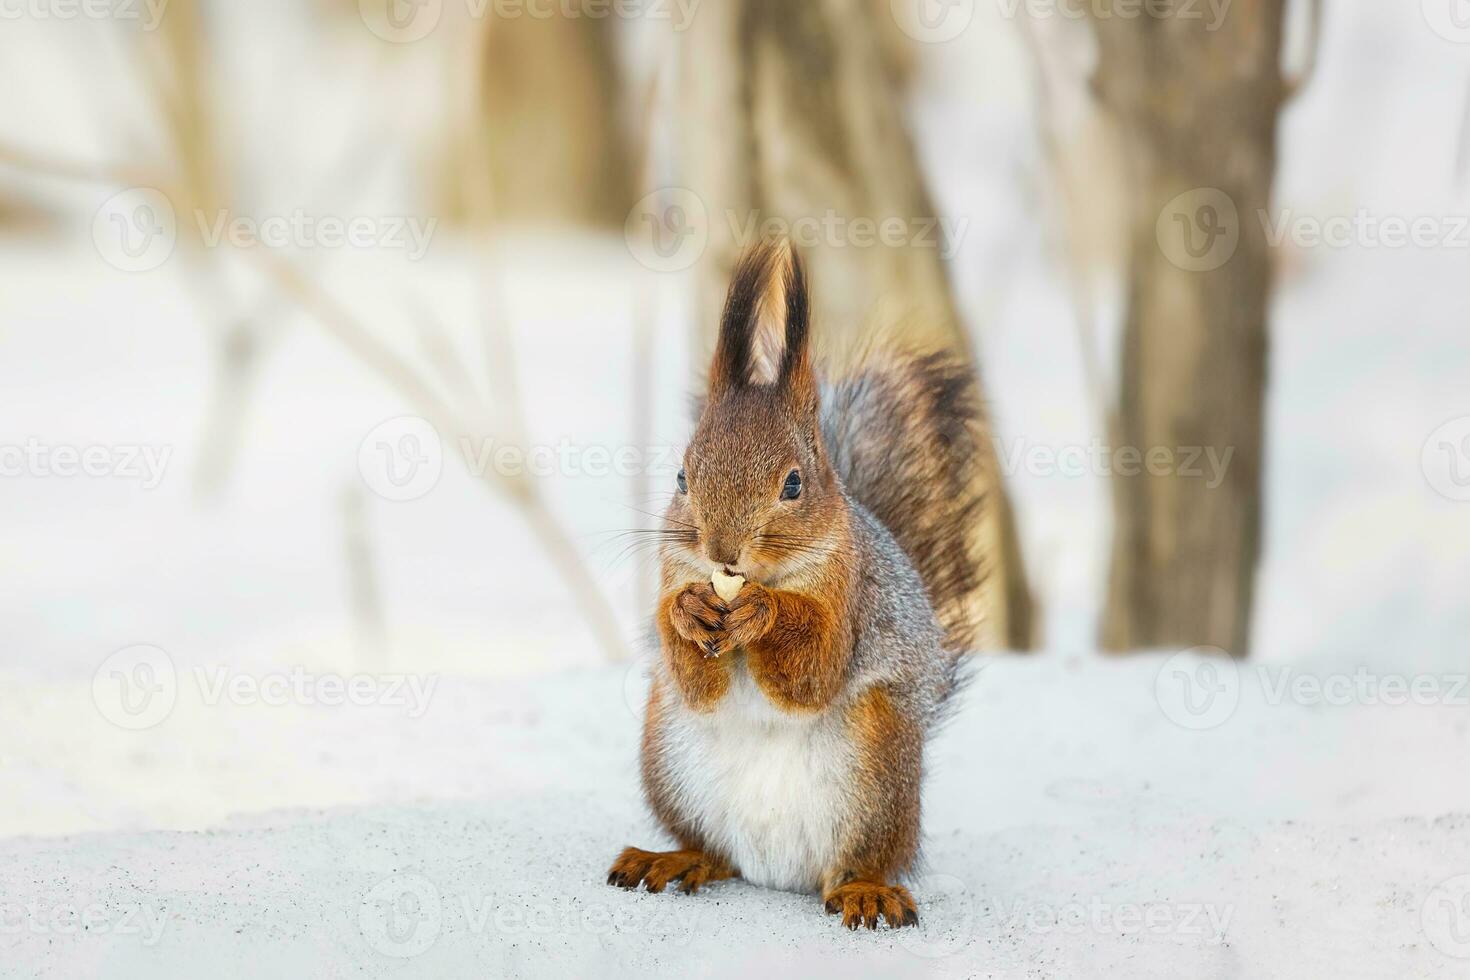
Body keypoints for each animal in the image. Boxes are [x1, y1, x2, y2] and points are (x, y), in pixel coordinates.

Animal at [602, 240, 993, 934]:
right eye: (681, 476)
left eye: (793, 484)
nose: (721, 551)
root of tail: (777, 870)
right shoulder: (674, 569)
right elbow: (695, 679)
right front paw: (686, 611)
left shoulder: (848, 595)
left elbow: (814, 671)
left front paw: (763, 611)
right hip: (669, 759)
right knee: (715, 853)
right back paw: (673, 858)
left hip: (877, 769)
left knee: (856, 863)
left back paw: (865, 890)